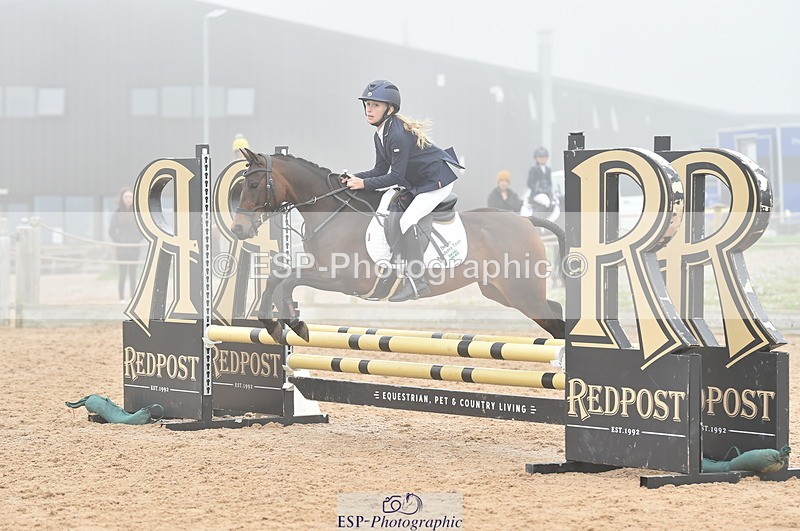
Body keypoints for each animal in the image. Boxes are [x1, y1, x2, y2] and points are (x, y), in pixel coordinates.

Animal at [231, 148, 566, 343]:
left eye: (253, 184)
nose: (238, 228)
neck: (334, 211)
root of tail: (526, 221)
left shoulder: (344, 279)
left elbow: (290, 280)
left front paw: (296, 324)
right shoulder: (323, 269)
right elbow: (277, 277)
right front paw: (273, 325)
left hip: (523, 294)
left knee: (556, 321)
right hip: (501, 292)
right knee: (556, 310)